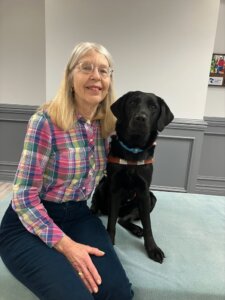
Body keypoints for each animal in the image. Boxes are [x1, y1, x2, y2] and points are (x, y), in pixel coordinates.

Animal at [91, 91, 174, 262]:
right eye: (132, 103)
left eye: (153, 107)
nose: (140, 118)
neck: (133, 151)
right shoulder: (115, 189)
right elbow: (111, 222)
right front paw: (110, 240)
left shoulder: (143, 192)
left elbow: (148, 225)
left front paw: (152, 248)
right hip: (102, 186)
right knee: (107, 211)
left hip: (151, 198)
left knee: (123, 219)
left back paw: (136, 229)